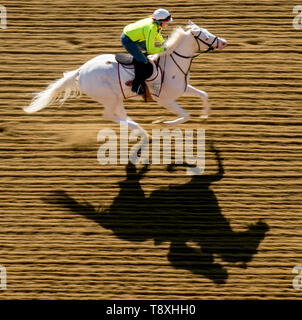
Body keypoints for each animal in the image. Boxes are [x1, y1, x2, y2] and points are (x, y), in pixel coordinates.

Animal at [24, 20, 226, 134]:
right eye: (206, 37)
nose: (224, 42)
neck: (172, 63)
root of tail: (81, 70)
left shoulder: (183, 89)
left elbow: (204, 94)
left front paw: (205, 115)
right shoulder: (166, 100)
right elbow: (184, 115)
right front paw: (165, 123)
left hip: (117, 97)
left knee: (119, 114)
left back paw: (139, 131)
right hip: (109, 98)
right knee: (109, 114)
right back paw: (139, 130)